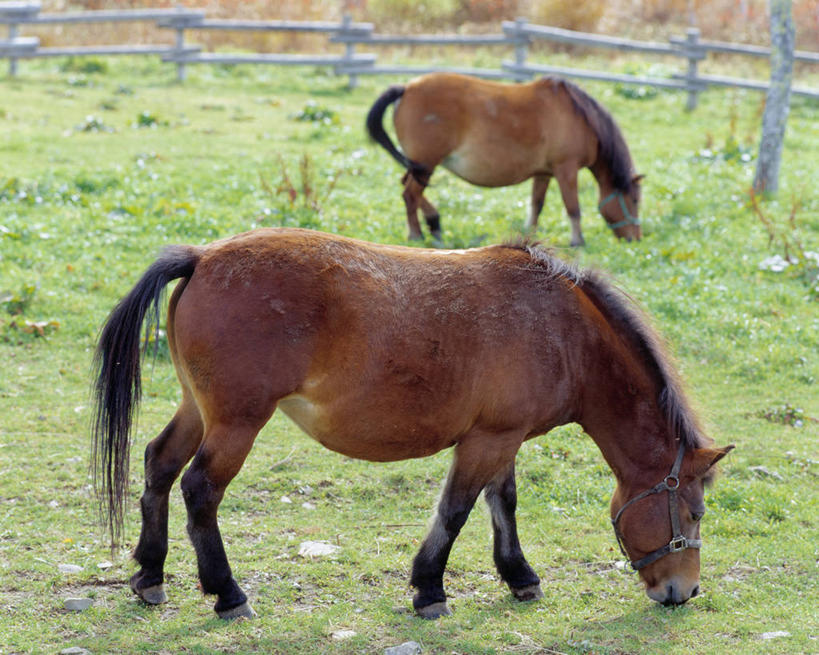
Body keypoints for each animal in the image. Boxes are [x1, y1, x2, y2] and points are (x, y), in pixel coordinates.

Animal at [93, 227, 731, 620]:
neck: (562, 330)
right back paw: (227, 593)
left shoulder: (502, 440)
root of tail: (202, 257)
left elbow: (503, 505)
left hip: (199, 411)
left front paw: (519, 576)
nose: (684, 591)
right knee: (200, 489)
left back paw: (150, 574)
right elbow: (455, 512)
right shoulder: (487, 441)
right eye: (695, 512)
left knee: (158, 466)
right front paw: (429, 589)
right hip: (236, 424)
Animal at [366, 72, 643, 246]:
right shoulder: (566, 169)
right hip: (426, 164)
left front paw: (530, 234)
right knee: (410, 195)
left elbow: (537, 205)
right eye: (634, 200)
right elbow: (573, 207)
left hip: (420, 165)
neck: (578, 116)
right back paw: (416, 233)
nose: (636, 238)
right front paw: (577, 240)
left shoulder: (544, 173)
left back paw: (434, 224)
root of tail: (406, 89)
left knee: (408, 186)